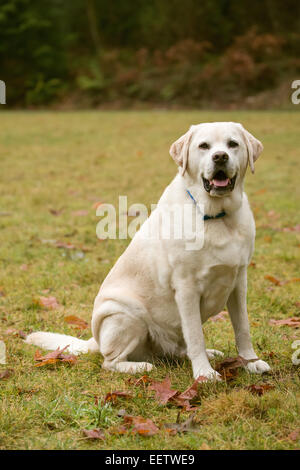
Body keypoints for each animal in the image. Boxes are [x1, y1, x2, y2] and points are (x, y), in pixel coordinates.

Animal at [25, 120, 270, 378]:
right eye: (204, 146)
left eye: (232, 144)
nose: (220, 156)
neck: (216, 216)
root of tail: (96, 341)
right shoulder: (187, 287)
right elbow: (196, 335)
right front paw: (204, 373)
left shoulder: (238, 282)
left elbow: (242, 328)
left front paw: (251, 362)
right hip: (125, 313)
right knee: (109, 362)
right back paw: (140, 366)